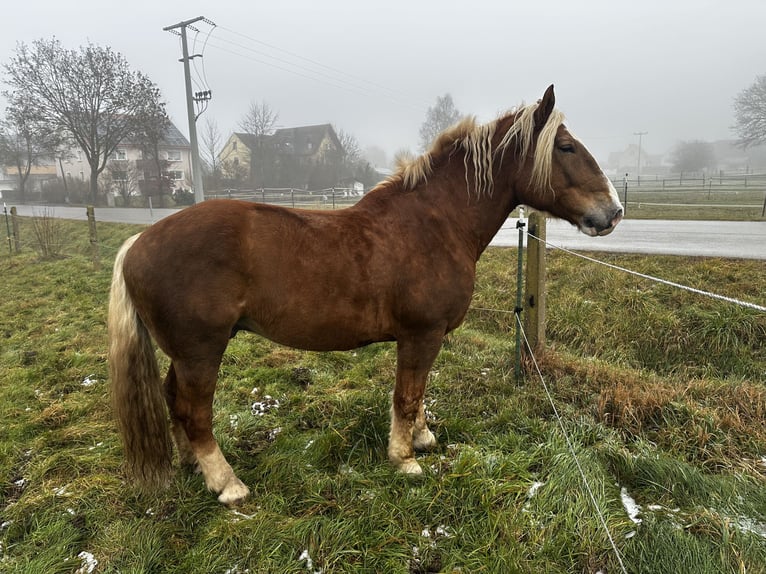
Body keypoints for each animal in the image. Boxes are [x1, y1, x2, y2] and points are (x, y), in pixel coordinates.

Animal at [108, 85, 624, 504]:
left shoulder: (424, 339)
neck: (435, 224)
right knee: (193, 412)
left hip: (187, 354)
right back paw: (227, 484)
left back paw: (192, 466)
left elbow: (419, 391)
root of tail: (140, 242)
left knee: (173, 399)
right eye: (565, 146)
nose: (614, 211)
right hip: (201, 352)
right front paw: (405, 459)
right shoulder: (420, 334)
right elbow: (407, 395)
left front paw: (421, 439)